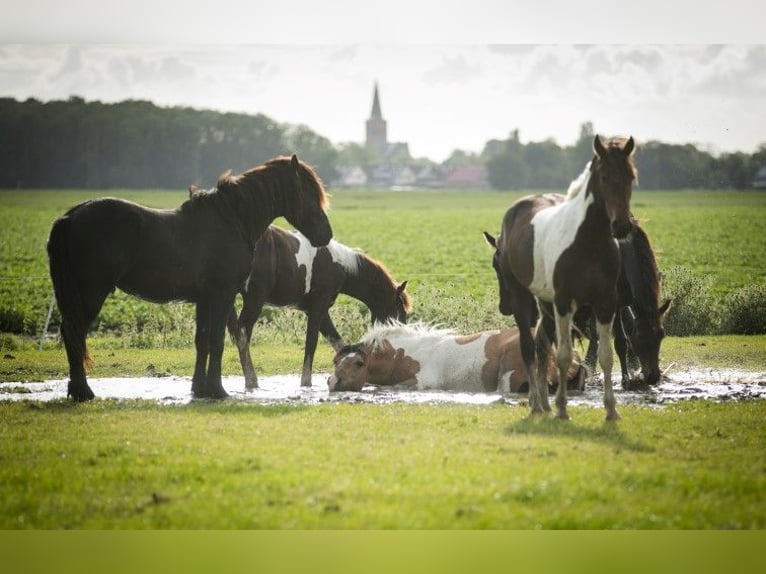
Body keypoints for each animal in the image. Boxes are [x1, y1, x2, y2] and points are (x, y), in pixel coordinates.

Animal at [48, 155, 332, 402]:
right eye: (308, 192)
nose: (326, 234)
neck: (232, 220)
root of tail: (71, 217)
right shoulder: (223, 295)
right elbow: (217, 341)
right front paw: (218, 390)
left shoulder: (204, 299)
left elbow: (202, 341)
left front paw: (199, 389)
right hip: (91, 293)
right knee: (73, 332)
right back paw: (83, 391)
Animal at [486, 136, 640, 424]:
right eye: (604, 176)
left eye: (631, 177)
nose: (622, 226)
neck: (588, 243)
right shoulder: (564, 302)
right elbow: (564, 356)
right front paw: (561, 409)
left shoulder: (606, 303)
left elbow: (605, 355)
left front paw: (611, 409)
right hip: (525, 300)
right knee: (529, 347)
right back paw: (537, 403)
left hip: (546, 304)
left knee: (542, 347)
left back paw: (543, 402)